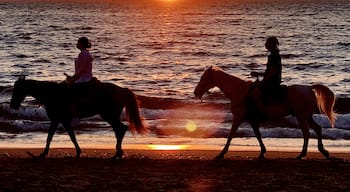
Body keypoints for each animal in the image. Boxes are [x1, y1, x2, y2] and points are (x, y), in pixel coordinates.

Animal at [9, 76, 146, 159]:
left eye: (17, 89)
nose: (12, 105)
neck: (52, 94)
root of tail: (122, 90)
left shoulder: (59, 120)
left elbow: (57, 136)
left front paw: (43, 154)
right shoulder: (60, 120)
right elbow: (65, 136)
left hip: (110, 116)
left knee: (121, 129)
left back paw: (118, 153)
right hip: (111, 116)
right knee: (120, 130)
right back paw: (118, 153)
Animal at [194, 66, 336, 159]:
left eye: (203, 78)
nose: (196, 92)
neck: (238, 91)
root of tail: (309, 88)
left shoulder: (238, 117)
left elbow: (230, 135)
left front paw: (221, 153)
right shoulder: (252, 120)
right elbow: (257, 135)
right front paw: (262, 152)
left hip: (302, 116)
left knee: (306, 133)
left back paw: (302, 154)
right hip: (306, 116)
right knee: (317, 129)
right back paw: (323, 151)